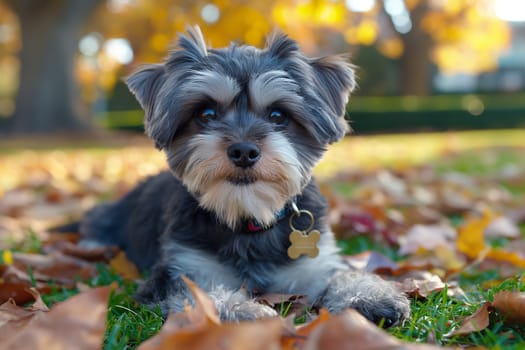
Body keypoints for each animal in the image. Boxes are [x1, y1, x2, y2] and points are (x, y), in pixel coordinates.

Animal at [79, 26, 410, 326]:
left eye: (278, 116)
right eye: (206, 114)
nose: (243, 151)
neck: (247, 218)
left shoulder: (312, 263)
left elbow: (339, 274)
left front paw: (368, 294)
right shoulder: (179, 271)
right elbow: (200, 296)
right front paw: (243, 310)